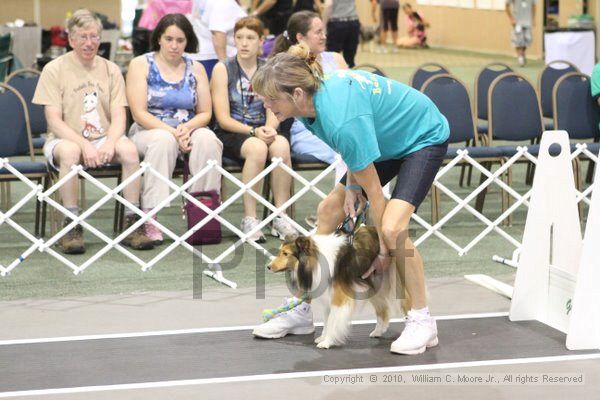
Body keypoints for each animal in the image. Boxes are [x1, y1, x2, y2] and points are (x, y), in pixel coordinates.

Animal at [268, 227, 412, 348]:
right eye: (280, 252)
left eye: (285, 253)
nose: (268, 267)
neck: (315, 261)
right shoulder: (328, 297)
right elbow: (327, 320)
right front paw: (323, 337)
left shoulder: (339, 298)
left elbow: (332, 321)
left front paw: (327, 342)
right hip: (373, 285)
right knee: (383, 309)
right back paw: (378, 331)